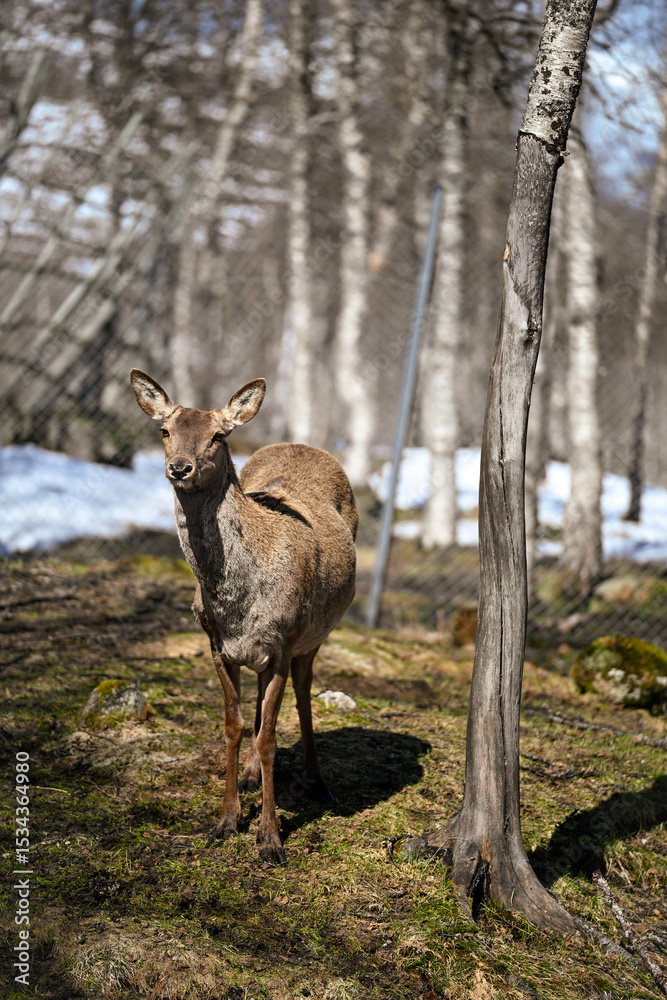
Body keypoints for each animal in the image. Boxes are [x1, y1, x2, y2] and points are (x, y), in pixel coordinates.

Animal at [130, 369, 357, 865]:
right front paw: (226, 821)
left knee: (305, 691)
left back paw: (316, 780)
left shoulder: (284, 641)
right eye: (165, 430)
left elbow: (271, 738)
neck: (238, 605)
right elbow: (234, 727)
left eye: (219, 435)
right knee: (259, 704)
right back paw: (253, 776)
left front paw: (270, 839)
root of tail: (302, 443)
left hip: (313, 634)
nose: (180, 468)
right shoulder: (218, 646)